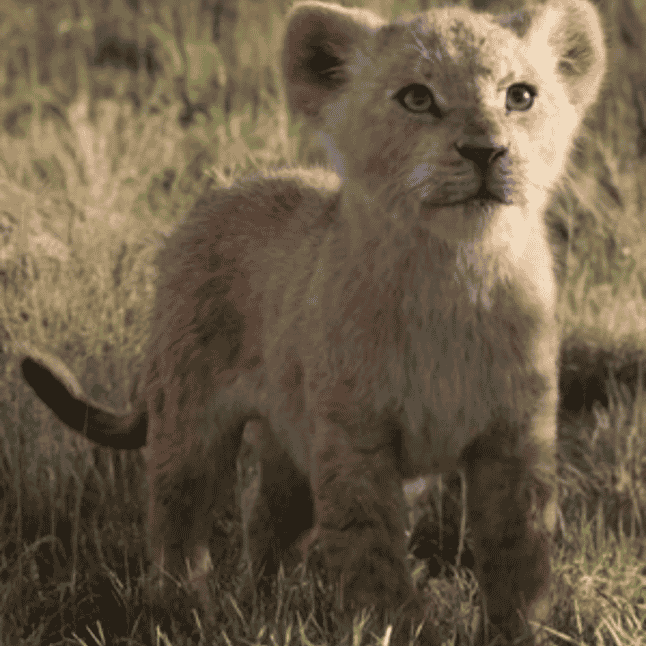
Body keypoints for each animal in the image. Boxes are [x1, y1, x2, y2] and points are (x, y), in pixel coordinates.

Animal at [21, 0, 606, 642]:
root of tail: (223, 192)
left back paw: (261, 608)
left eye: (520, 96)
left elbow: (519, 551)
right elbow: (370, 546)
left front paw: (525, 631)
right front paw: (394, 628)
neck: (456, 273)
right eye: (417, 97)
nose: (486, 151)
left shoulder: (516, 436)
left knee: (266, 522)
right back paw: (186, 609)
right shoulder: (353, 436)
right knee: (177, 515)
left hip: (291, 444)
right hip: (190, 416)